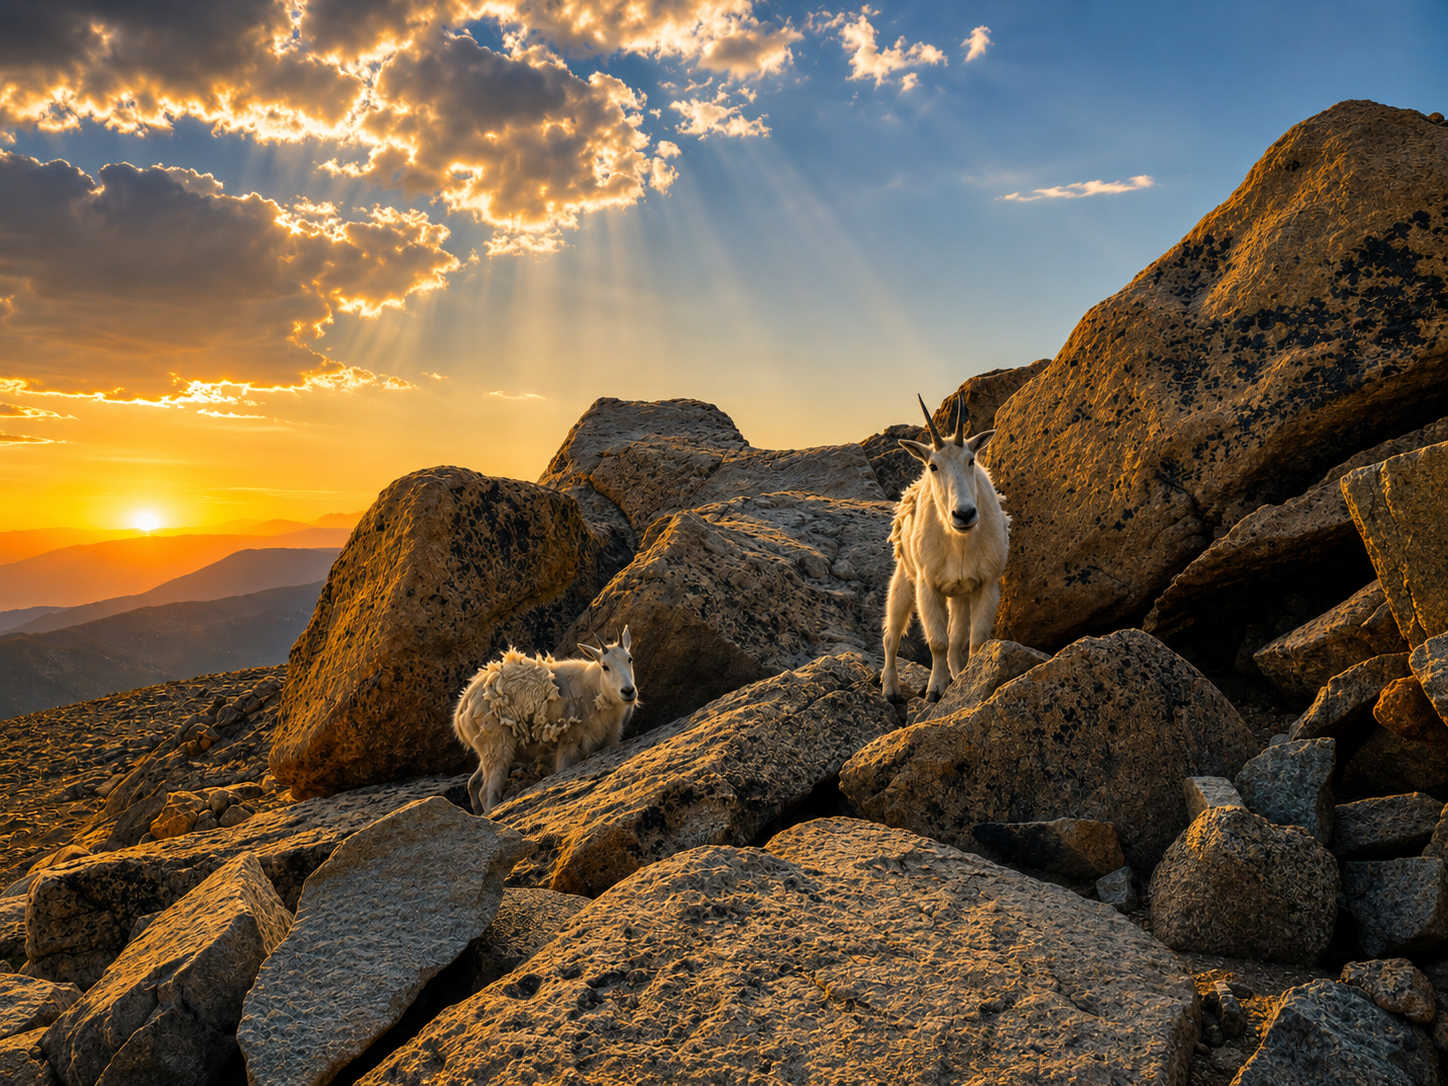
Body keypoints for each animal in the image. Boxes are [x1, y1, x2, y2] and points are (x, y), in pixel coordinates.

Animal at [452, 628, 637, 815]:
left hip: (486, 750)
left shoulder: (609, 738)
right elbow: (562, 768)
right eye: (605, 666)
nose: (628, 691)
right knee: (488, 790)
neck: (594, 687)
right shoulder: (568, 742)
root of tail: (462, 709)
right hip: (498, 745)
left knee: (474, 783)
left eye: (630, 659)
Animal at [882, 396, 1010, 705]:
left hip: (960, 594)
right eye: (933, 466)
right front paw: (935, 689)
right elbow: (938, 642)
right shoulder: (928, 586)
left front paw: (969, 680)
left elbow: (975, 641)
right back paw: (890, 689)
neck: (959, 541)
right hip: (905, 575)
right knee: (891, 634)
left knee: (956, 641)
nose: (964, 514)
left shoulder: (986, 584)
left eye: (971, 460)